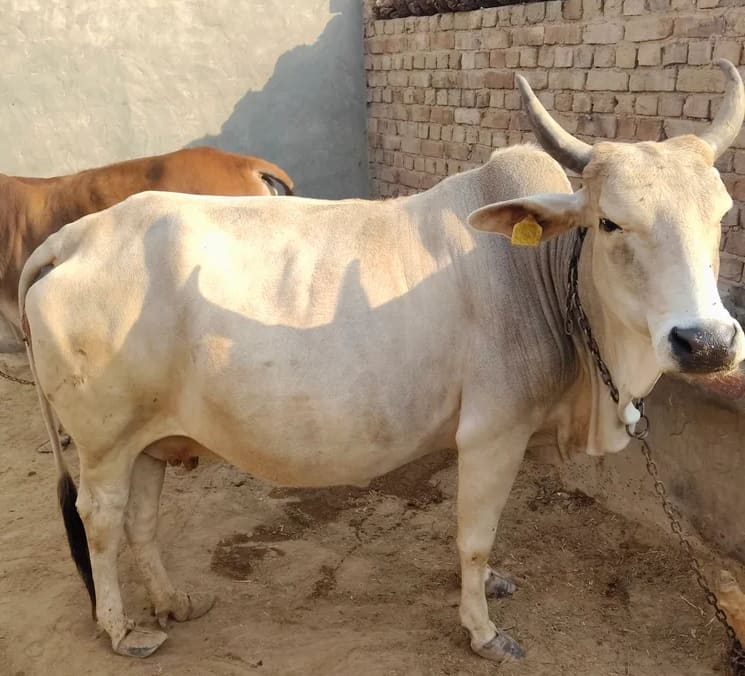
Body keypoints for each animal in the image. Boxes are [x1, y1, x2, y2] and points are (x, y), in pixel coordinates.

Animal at [20, 59, 745, 661]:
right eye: (610, 223)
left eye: (719, 217)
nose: (707, 343)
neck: (535, 271)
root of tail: (74, 238)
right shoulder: (492, 433)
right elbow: (474, 535)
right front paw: (482, 631)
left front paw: (492, 585)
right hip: (104, 443)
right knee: (100, 521)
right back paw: (123, 630)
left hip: (148, 438)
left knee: (140, 521)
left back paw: (172, 602)